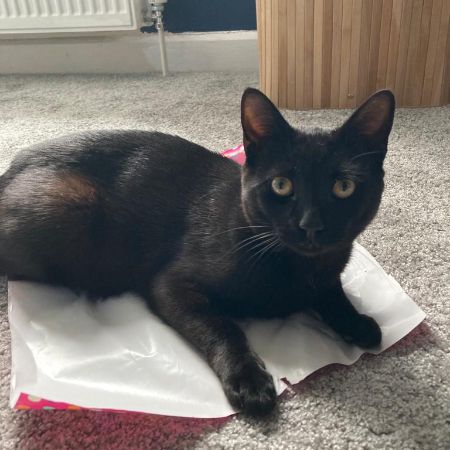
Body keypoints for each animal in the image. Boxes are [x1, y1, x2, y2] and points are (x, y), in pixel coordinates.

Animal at [0, 88, 395, 417]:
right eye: (282, 185)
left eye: (343, 187)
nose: (310, 225)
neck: (298, 268)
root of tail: (14, 166)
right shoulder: (172, 284)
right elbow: (222, 327)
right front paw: (248, 380)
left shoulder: (328, 272)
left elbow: (334, 295)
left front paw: (357, 322)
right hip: (71, 207)